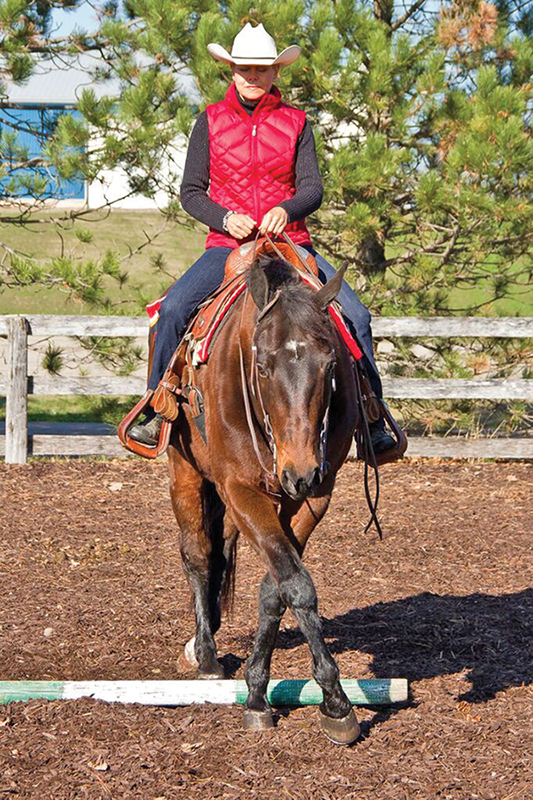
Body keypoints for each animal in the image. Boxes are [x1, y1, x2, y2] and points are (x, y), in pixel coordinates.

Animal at [167, 255, 360, 745]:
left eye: (330, 362)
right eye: (262, 366)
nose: (299, 470)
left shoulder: (315, 495)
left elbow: (279, 587)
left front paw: (259, 689)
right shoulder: (239, 488)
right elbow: (296, 583)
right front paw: (336, 700)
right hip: (185, 471)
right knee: (198, 555)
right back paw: (207, 655)